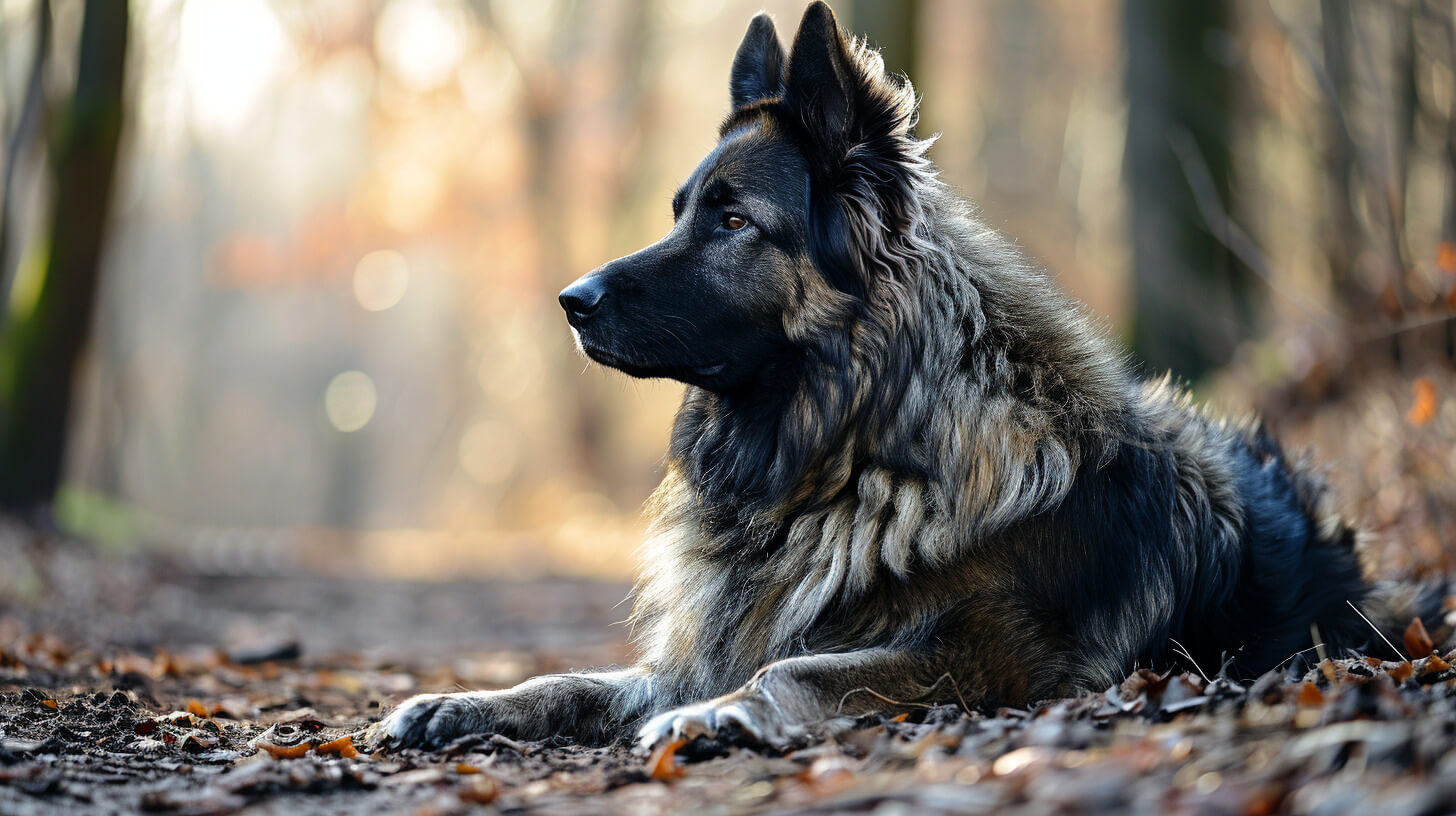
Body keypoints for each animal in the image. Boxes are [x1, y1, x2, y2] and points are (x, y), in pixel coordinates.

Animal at [372, 1, 1397, 751]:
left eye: (733, 220)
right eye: (679, 211)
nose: (570, 301)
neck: (837, 454)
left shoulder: (994, 659)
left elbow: (793, 669)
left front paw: (724, 713)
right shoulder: (697, 647)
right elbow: (577, 681)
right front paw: (461, 705)